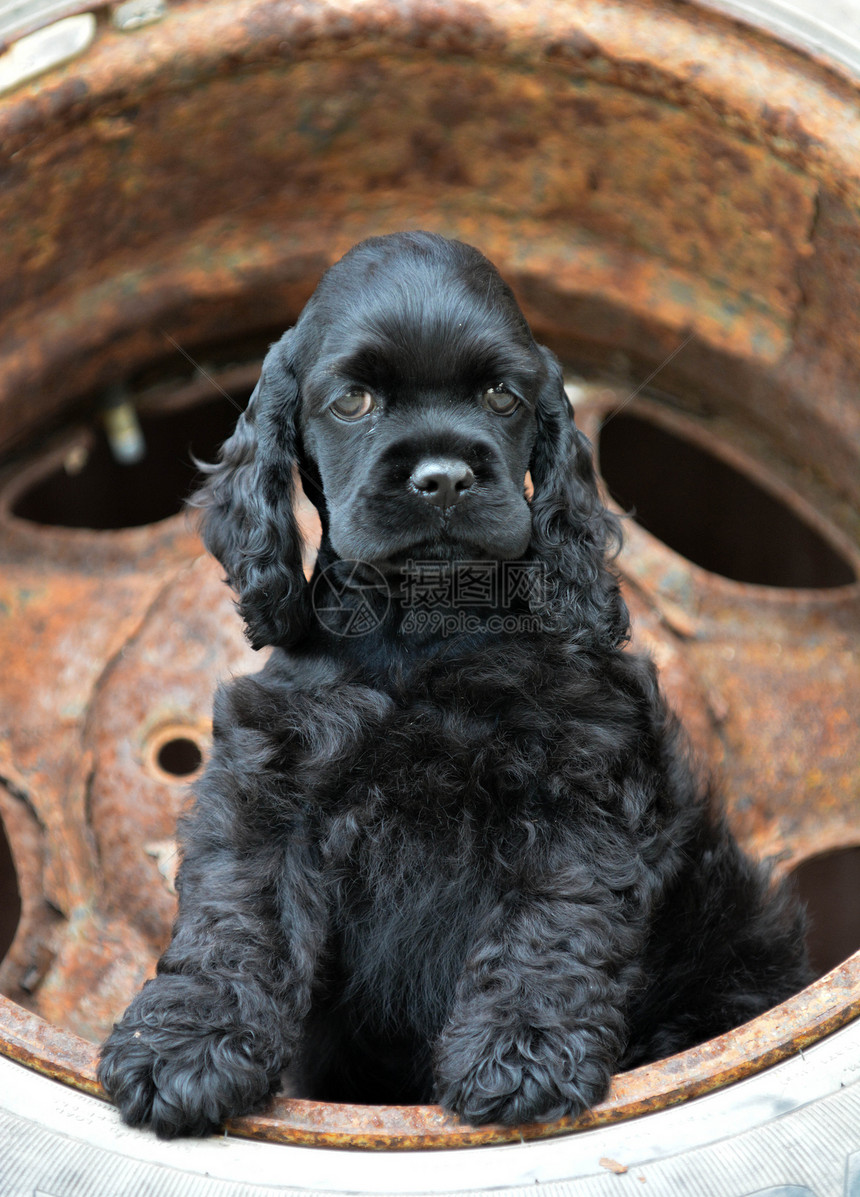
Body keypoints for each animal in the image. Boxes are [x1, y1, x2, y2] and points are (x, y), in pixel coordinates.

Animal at [97, 233, 809, 1139]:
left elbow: (548, 922)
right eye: (354, 399)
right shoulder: (270, 783)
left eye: (503, 395)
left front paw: (520, 1054)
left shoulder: (577, 791)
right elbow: (236, 914)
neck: (425, 631)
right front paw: (184, 1046)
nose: (441, 476)